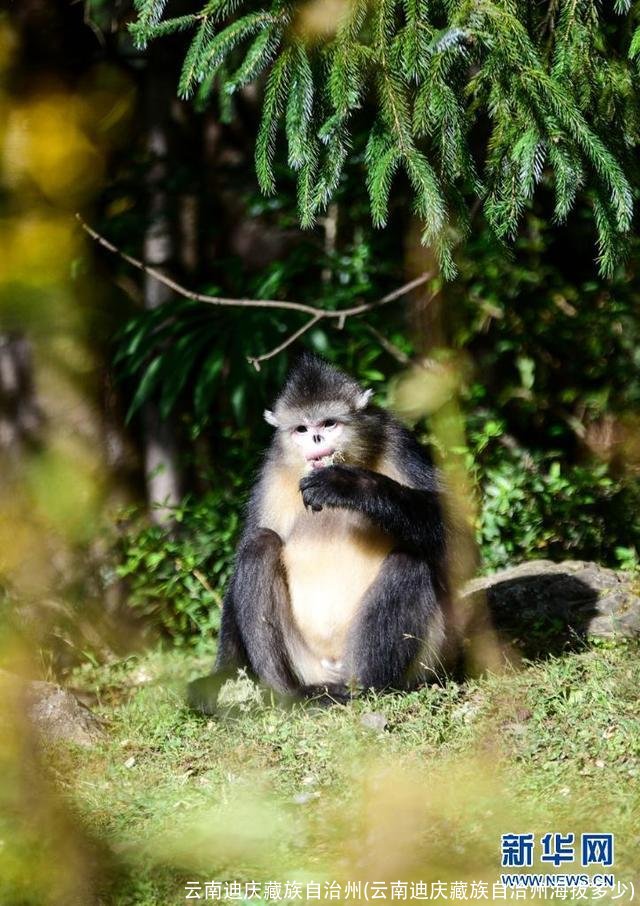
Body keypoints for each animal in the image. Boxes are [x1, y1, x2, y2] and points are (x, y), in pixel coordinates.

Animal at [186, 354, 460, 712]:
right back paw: (289, 697)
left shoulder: (399, 442)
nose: (316, 439)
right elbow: (251, 541)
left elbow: (458, 538)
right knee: (259, 545)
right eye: (302, 429)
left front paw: (348, 485)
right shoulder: (273, 469)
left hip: (424, 658)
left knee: (410, 561)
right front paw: (222, 675)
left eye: (328, 424)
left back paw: (365, 690)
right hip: (306, 664)